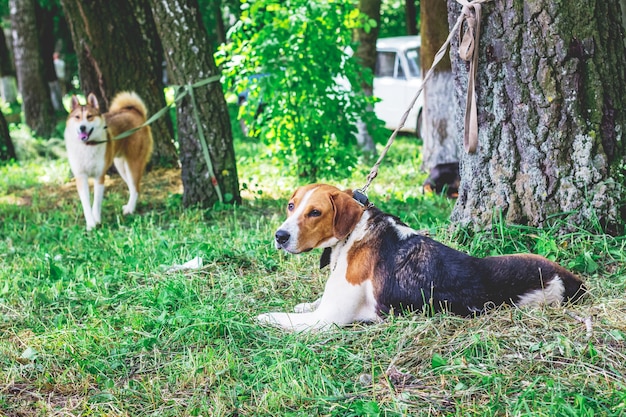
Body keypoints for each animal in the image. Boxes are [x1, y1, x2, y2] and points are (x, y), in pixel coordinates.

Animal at [63, 90, 152, 231]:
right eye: (77, 117)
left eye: (89, 116)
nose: (82, 127)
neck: (87, 146)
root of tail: (135, 112)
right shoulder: (81, 177)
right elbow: (86, 204)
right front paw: (90, 224)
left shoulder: (99, 176)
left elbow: (96, 202)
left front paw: (97, 220)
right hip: (121, 166)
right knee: (132, 187)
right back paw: (128, 206)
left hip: (133, 163)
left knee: (136, 188)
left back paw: (130, 209)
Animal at [255, 184, 584, 330]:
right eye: (291, 206)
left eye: (315, 212)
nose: (279, 236)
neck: (355, 232)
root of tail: (573, 282)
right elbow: (312, 303)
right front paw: (302, 303)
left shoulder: (329, 319)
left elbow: (284, 318)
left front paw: (264, 317)